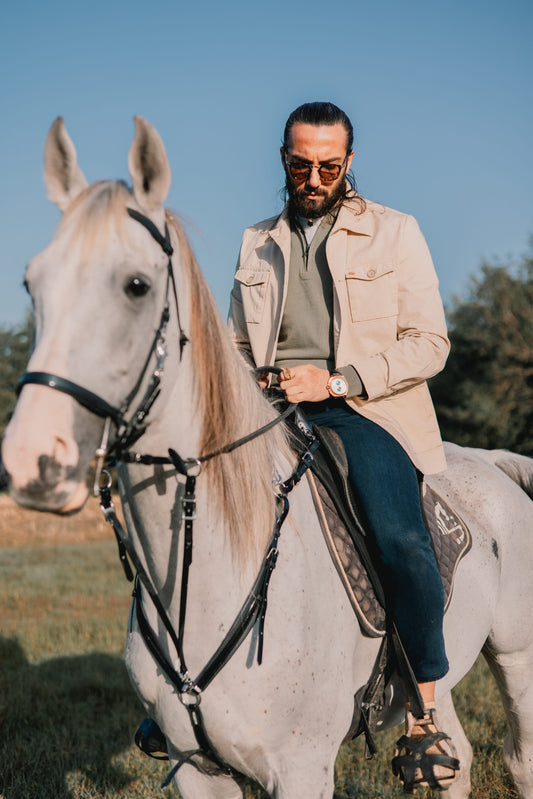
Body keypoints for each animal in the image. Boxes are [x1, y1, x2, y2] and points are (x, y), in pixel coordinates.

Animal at [3, 115, 532, 796]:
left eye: (136, 285)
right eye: (31, 283)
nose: (34, 460)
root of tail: (494, 461)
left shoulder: (302, 767)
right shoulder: (194, 768)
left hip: (516, 655)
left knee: (517, 757)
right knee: (450, 755)